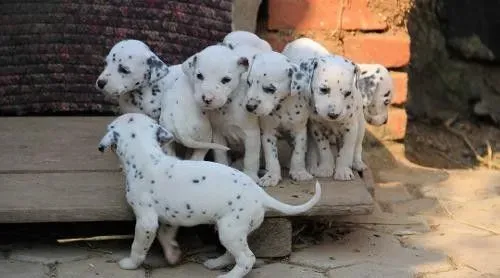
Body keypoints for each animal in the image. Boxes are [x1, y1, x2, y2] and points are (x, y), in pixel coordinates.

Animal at [99, 112, 322, 278]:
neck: (147, 156)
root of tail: (261, 195)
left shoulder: (146, 221)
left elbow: (138, 246)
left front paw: (130, 263)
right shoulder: (170, 218)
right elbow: (165, 235)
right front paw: (172, 254)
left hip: (230, 230)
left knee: (247, 258)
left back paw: (228, 276)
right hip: (231, 231)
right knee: (232, 254)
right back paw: (216, 263)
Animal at [182, 44, 264, 181]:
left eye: (226, 80)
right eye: (199, 76)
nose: (207, 99)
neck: (227, 106)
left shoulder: (251, 135)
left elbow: (251, 159)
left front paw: (251, 176)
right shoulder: (218, 134)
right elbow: (221, 154)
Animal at [243, 51, 310, 187]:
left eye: (270, 89)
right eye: (248, 83)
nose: (250, 106)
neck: (282, 106)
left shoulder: (299, 130)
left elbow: (298, 153)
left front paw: (299, 172)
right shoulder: (268, 133)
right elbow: (271, 157)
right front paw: (271, 176)